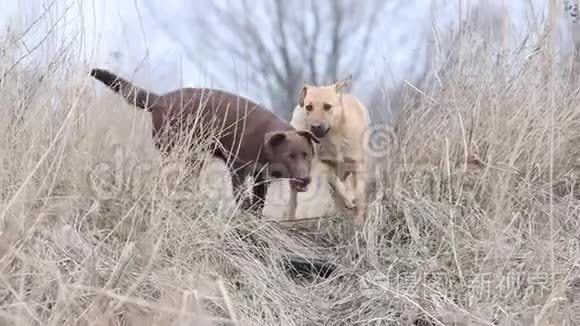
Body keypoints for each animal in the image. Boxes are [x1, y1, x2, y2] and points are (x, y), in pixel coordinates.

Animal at [88, 67, 320, 213]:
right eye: (289, 155)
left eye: (306, 155)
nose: (306, 178)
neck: (265, 143)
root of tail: (159, 99)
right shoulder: (238, 166)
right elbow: (240, 194)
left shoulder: (261, 177)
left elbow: (258, 201)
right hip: (181, 150)